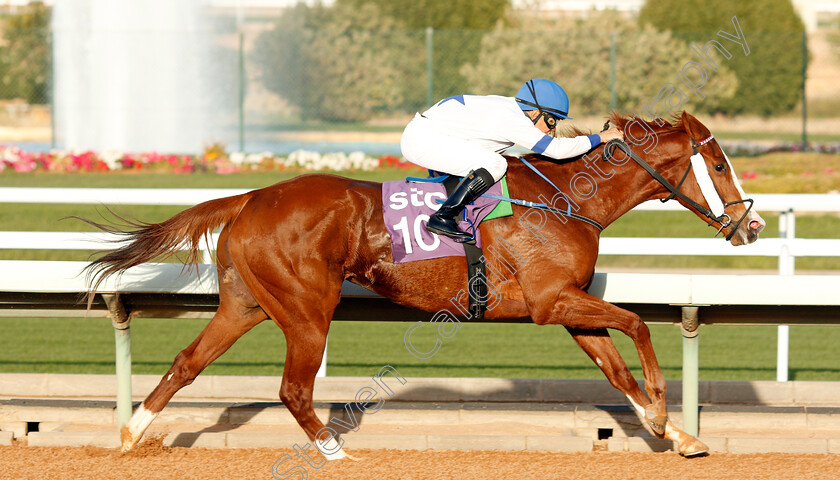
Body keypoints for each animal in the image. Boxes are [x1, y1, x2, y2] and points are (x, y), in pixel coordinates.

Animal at [82, 111, 764, 458]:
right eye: (719, 163)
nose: (751, 224)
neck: (569, 199)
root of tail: (251, 196)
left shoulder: (566, 308)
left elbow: (616, 367)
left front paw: (676, 433)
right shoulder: (552, 302)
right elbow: (639, 324)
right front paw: (666, 415)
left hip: (246, 304)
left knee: (187, 362)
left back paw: (133, 433)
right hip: (307, 308)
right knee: (293, 388)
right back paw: (334, 453)